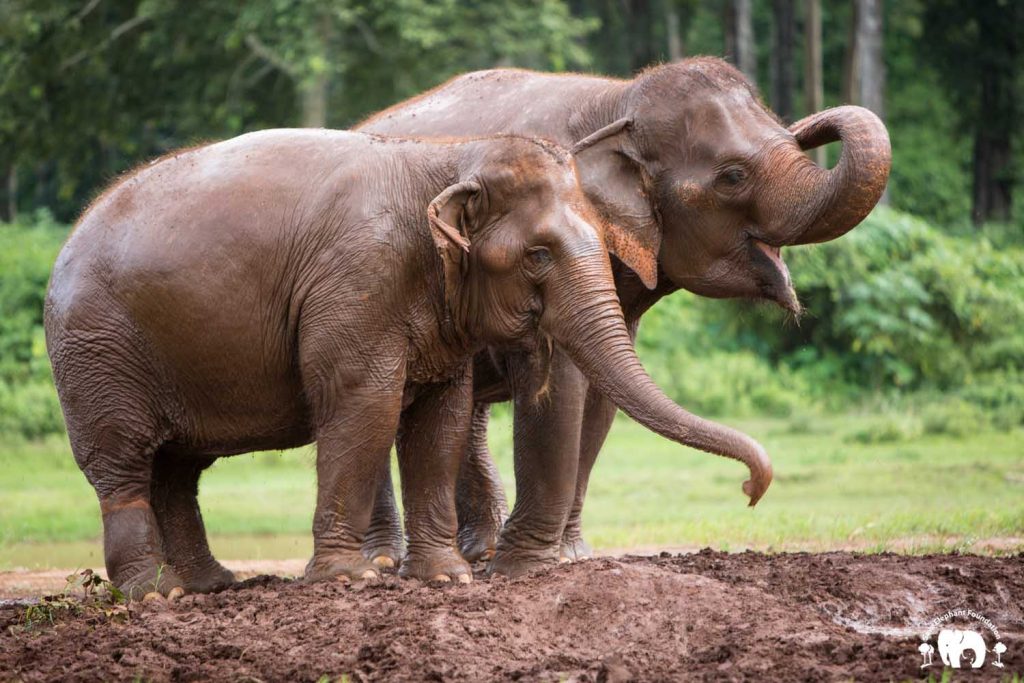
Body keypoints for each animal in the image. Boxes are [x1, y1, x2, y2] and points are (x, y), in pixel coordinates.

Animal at [360, 56, 888, 573]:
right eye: (732, 176)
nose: (748, 490)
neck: (617, 102)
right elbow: (559, 387)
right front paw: (523, 568)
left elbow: (600, 405)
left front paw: (570, 557)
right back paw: (385, 559)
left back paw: (477, 551)